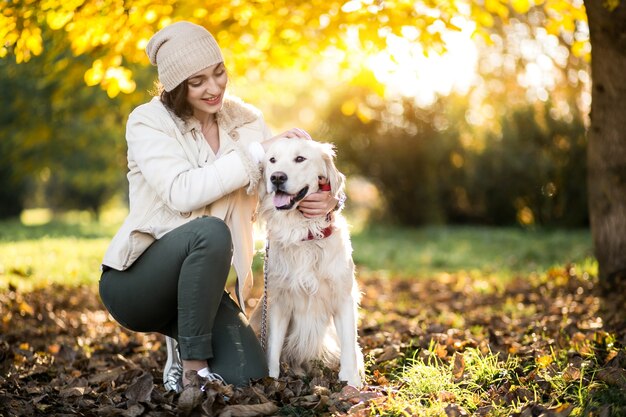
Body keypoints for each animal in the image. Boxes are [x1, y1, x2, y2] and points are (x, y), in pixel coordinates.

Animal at [250, 137, 364, 386]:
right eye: (272, 160)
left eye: (300, 158)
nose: (277, 177)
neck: (304, 234)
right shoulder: (278, 302)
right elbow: (272, 348)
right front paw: (271, 381)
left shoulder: (343, 297)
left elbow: (349, 347)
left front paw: (350, 383)